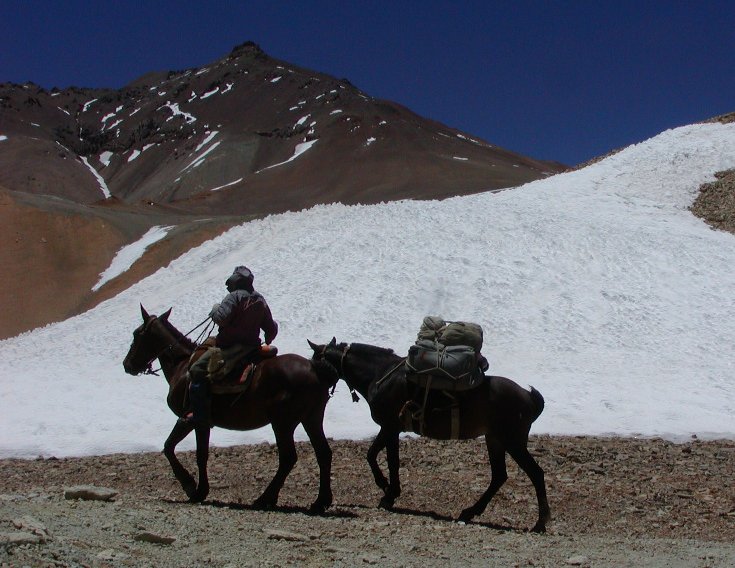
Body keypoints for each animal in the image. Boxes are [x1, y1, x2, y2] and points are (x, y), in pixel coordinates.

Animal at [123, 306, 336, 516]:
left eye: (136, 334)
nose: (127, 365)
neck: (181, 366)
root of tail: (315, 369)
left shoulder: (191, 420)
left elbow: (175, 448)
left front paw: (193, 488)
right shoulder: (203, 423)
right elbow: (200, 453)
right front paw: (199, 489)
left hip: (283, 423)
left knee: (288, 457)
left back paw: (265, 498)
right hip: (311, 418)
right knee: (323, 453)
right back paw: (320, 502)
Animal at [308, 338, 548, 532]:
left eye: (314, 359)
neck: (379, 374)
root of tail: (528, 396)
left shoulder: (389, 426)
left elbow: (380, 457)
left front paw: (387, 490)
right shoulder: (391, 429)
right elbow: (382, 457)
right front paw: (389, 490)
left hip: (512, 441)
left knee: (535, 473)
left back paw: (540, 523)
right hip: (495, 440)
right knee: (499, 476)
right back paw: (469, 512)